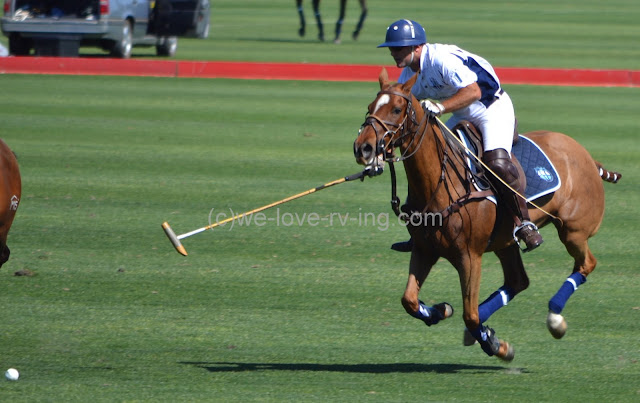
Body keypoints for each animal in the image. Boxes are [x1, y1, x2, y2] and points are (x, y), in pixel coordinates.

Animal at [352, 70, 624, 362]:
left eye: (396, 109)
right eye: (370, 106)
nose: (363, 148)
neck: (441, 181)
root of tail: (588, 157)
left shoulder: (470, 256)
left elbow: (469, 314)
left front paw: (496, 345)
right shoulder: (425, 249)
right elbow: (410, 300)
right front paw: (442, 311)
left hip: (573, 230)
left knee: (586, 264)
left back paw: (554, 318)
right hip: (506, 240)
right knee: (518, 280)